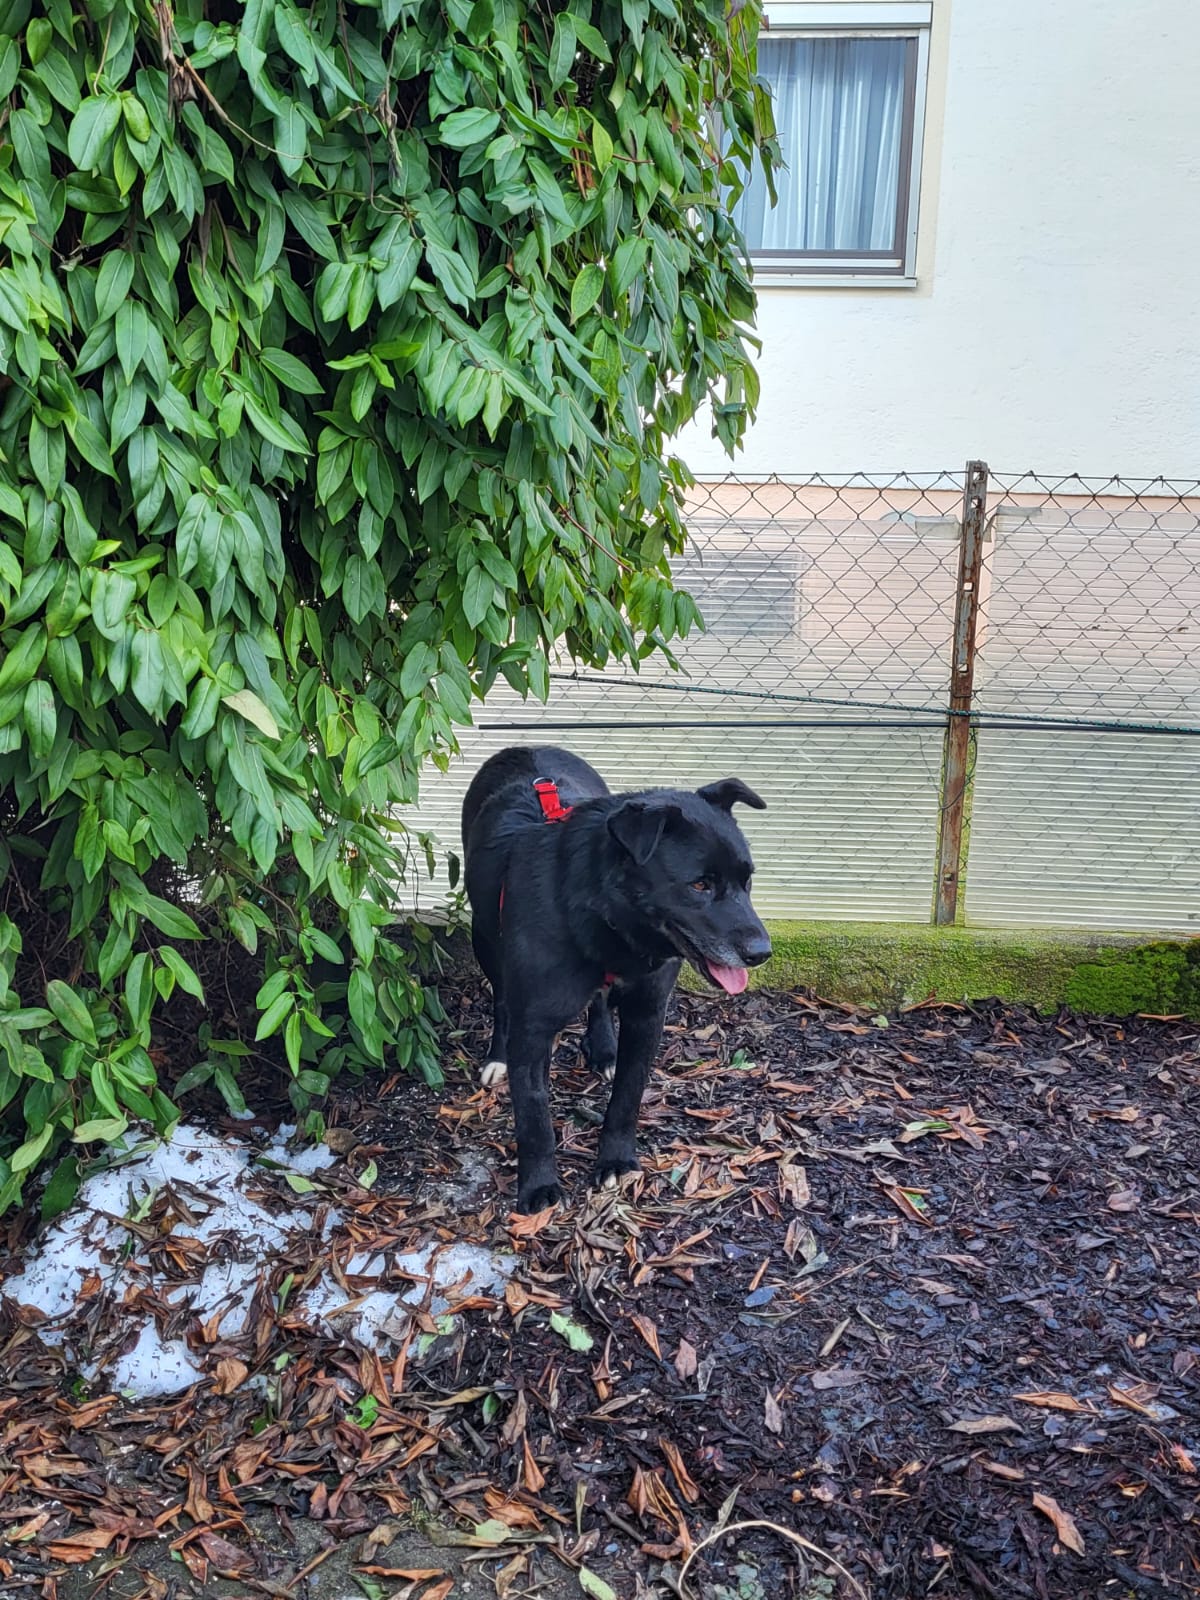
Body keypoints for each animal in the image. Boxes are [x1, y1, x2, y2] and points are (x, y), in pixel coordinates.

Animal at [460, 746, 771, 1212]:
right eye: (700, 884)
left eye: (747, 880)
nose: (761, 953)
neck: (605, 922)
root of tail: (526, 748)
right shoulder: (533, 1029)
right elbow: (534, 1117)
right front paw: (538, 1187)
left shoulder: (648, 1012)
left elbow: (627, 1095)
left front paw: (617, 1161)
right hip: (484, 938)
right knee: (501, 1001)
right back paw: (497, 1056)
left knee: (601, 1002)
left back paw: (604, 1047)